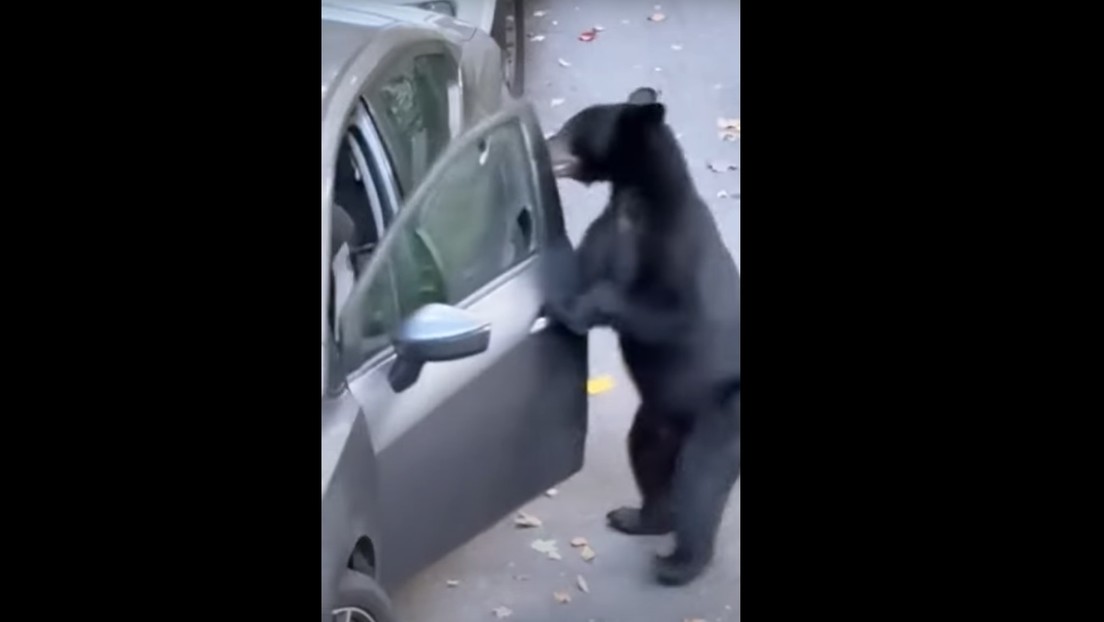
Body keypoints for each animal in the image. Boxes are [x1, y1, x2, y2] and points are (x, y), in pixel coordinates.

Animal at [543, 87, 741, 587]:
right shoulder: (607, 231)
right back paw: (638, 517)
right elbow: (583, 266)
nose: (548, 144)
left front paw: (571, 308)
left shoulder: (677, 248)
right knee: (648, 455)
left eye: (573, 129)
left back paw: (678, 563)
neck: (635, 198)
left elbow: (667, 311)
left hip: (723, 416)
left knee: (700, 481)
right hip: (658, 416)